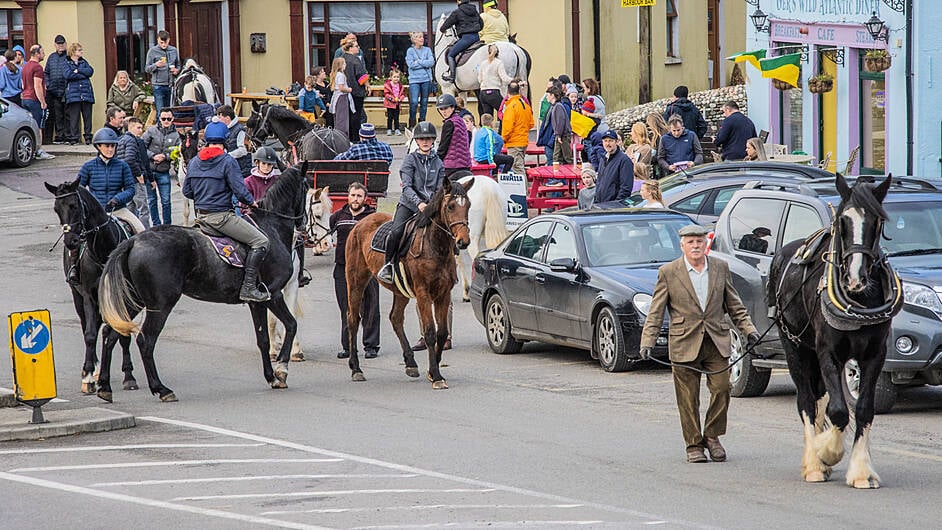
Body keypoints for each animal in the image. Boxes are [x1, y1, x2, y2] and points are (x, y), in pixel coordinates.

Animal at [344, 177, 476, 388]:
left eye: (468, 205)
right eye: (450, 206)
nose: (463, 241)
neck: (435, 247)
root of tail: (360, 222)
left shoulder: (443, 293)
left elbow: (441, 332)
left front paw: (432, 371)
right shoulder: (423, 293)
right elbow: (430, 332)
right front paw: (436, 376)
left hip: (400, 291)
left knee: (395, 318)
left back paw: (411, 363)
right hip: (356, 281)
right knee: (353, 319)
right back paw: (356, 368)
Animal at [772, 173, 904, 486]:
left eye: (877, 222)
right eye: (843, 222)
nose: (856, 279)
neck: (858, 300)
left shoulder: (875, 356)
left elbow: (863, 409)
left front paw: (861, 471)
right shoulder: (828, 354)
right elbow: (839, 411)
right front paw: (826, 452)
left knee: (819, 397)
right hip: (795, 347)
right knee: (807, 401)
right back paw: (813, 464)